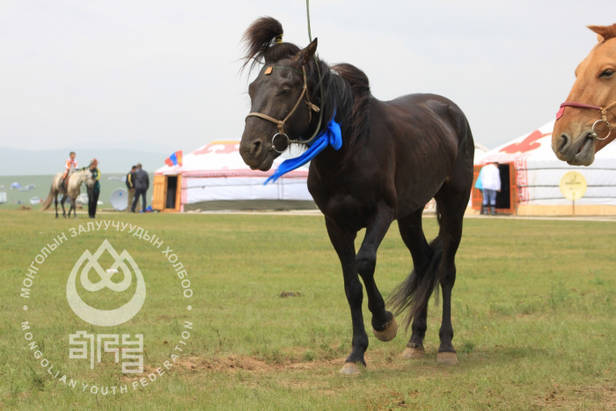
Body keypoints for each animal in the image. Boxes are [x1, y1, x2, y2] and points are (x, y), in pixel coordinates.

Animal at [238, 16, 474, 376]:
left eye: (286, 88)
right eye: (252, 89)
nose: (250, 149)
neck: (349, 146)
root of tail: (450, 111)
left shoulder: (382, 213)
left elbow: (364, 263)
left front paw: (384, 323)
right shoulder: (336, 224)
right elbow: (351, 285)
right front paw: (355, 355)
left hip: (453, 205)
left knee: (445, 270)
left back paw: (446, 346)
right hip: (411, 214)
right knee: (424, 264)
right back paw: (415, 341)